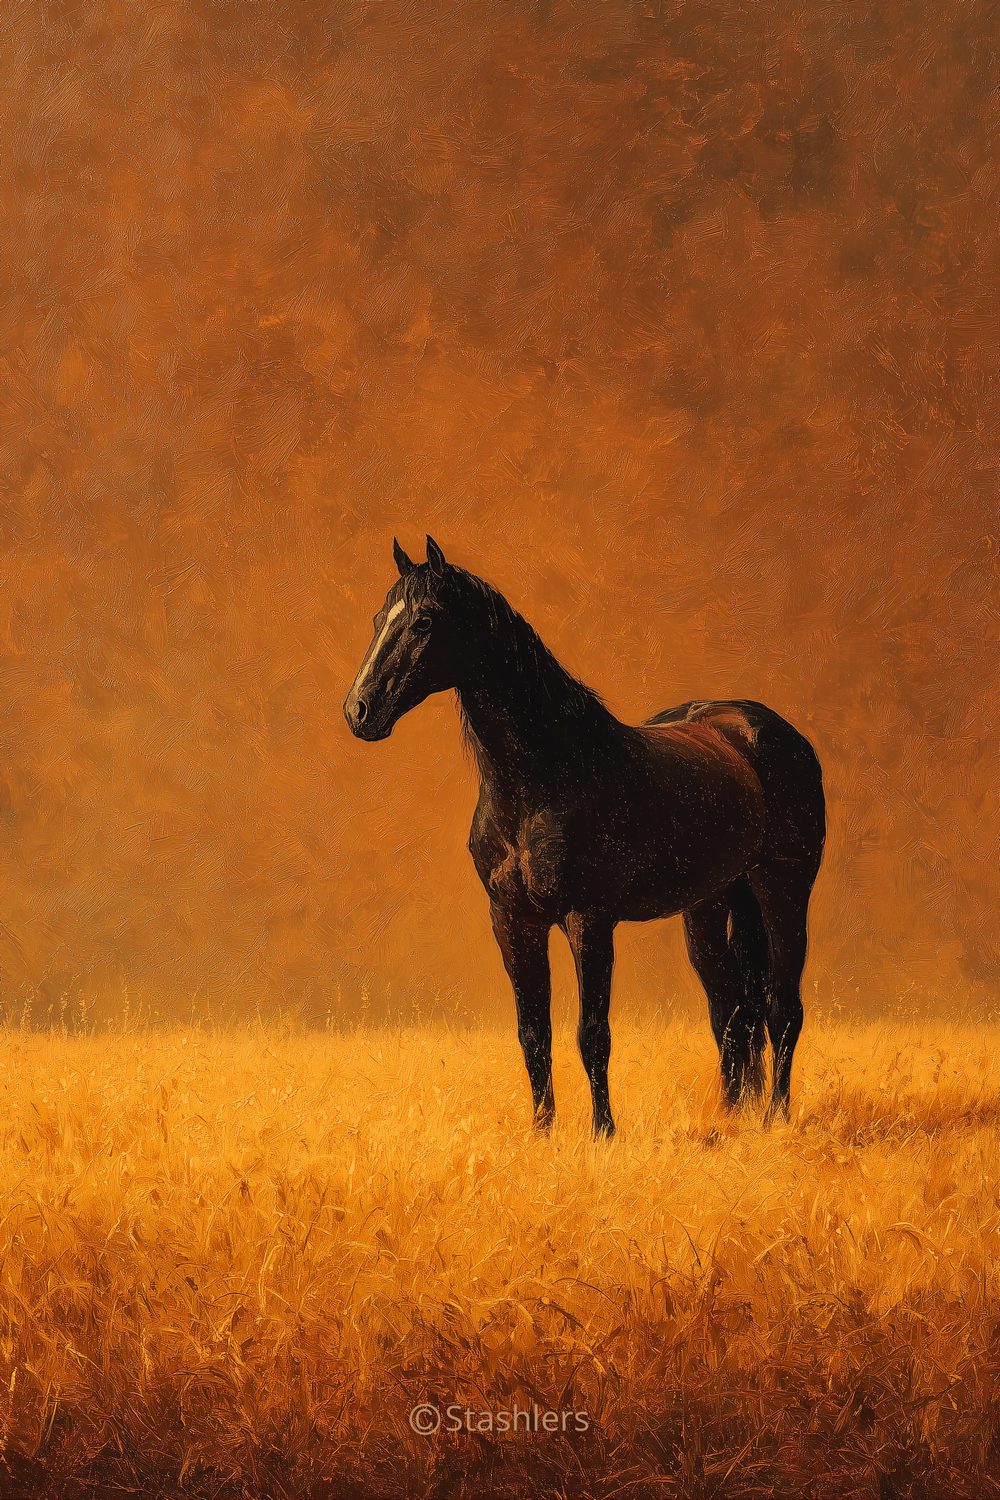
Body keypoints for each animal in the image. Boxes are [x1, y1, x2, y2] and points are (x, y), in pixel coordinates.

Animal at [344, 536, 826, 1137]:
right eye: (377, 619)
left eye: (425, 620)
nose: (360, 711)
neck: (543, 778)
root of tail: (759, 727)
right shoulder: (513, 922)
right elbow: (534, 1035)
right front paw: (542, 1132)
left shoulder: (589, 922)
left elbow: (592, 1035)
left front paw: (603, 1133)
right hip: (711, 906)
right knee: (731, 1011)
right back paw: (731, 1117)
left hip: (783, 890)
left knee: (782, 1007)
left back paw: (774, 1119)